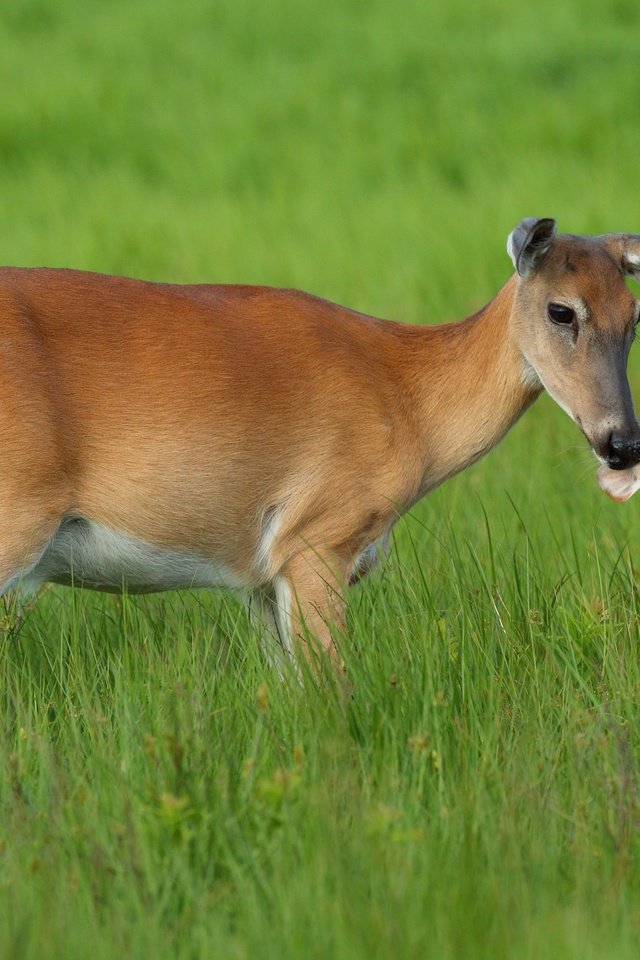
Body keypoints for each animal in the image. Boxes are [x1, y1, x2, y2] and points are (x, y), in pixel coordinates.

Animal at [1, 216, 640, 676]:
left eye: (635, 316)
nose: (622, 443)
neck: (409, 403)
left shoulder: (260, 579)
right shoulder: (318, 537)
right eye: (561, 310)